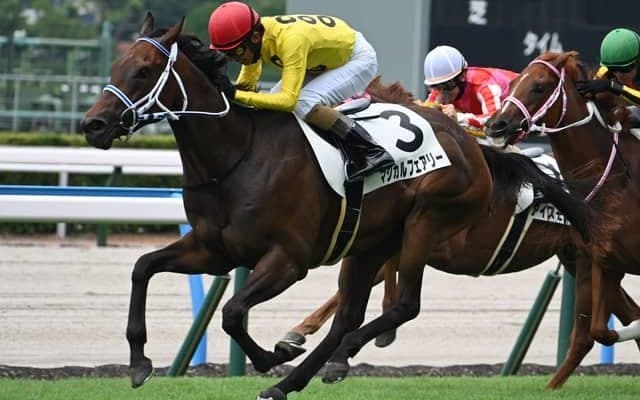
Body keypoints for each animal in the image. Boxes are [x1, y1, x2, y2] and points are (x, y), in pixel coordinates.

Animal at [81, 14, 593, 399]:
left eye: (143, 71)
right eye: (117, 65)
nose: (93, 125)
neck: (238, 154)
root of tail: (471, 146)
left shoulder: (288, 260)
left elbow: (231, 312)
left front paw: (270, 356)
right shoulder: (213, 249)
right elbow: (143, 268)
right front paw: (139, 362)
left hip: (425, 225)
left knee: (402, 306)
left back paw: (314, 363)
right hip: (369, 242)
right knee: (349, 314)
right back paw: (294, 380)